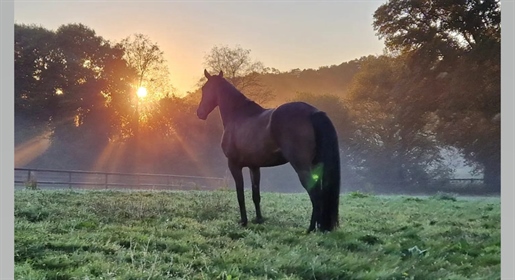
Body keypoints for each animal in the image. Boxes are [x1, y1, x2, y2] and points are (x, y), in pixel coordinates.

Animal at [196, 69, 340, 232]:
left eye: (205, 89)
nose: (200, 113)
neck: (238, 115)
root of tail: (313, 112)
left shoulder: (234, 165)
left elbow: (240, 194)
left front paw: (244, 221)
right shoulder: (254, 167)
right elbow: (255, 194)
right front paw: (259, 219)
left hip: (302, 167)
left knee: (315, 195)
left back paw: (310, 229)